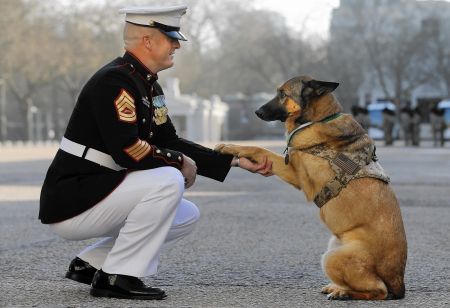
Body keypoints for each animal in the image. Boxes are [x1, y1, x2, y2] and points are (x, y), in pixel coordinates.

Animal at [216, 76, 410, 300]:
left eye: (282, 94)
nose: (257, 111)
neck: (319, 119)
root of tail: (398, 282)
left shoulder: (294, 172)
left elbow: (258, 148)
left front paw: (230, 146)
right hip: (332, 247)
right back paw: (337, 287)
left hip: (332, 258)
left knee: (378, 291)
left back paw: (344, 293)